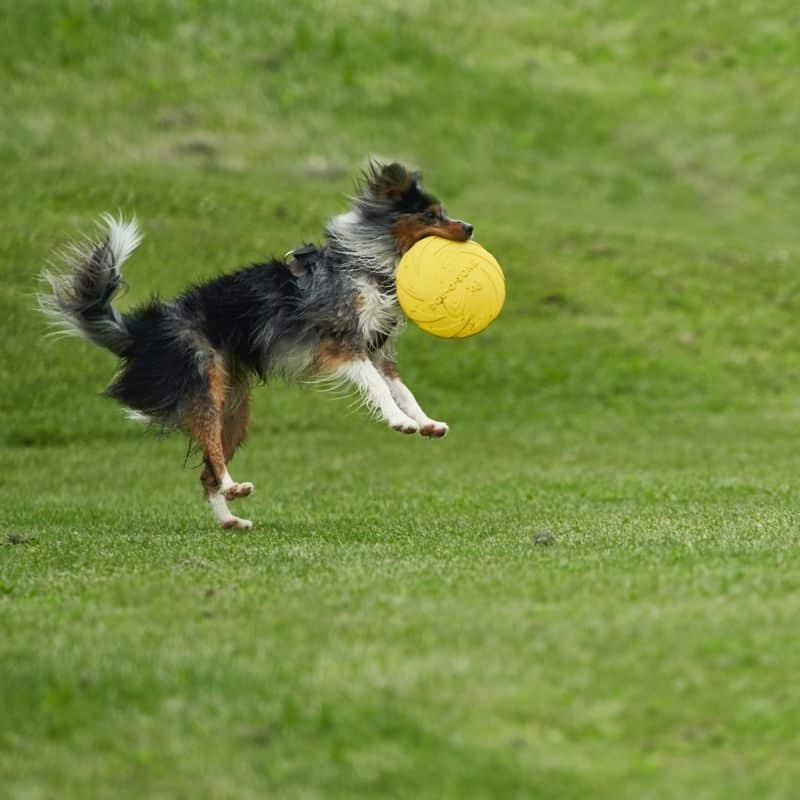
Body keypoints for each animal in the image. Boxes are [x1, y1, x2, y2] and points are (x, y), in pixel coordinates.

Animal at [40, 159, 472, 528]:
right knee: (211, 453)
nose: (470, 228)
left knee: (206, 472)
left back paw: (230, 518)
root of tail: (142, 330)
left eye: (443, 212)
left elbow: (403, 389)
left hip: (234, 404)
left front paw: (426, 422)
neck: (368, 267)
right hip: (205, 384)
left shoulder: (378, 352)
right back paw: (233, 488)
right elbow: (380, 390)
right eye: (431, 216)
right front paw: (401, 422)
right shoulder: (343, 347)